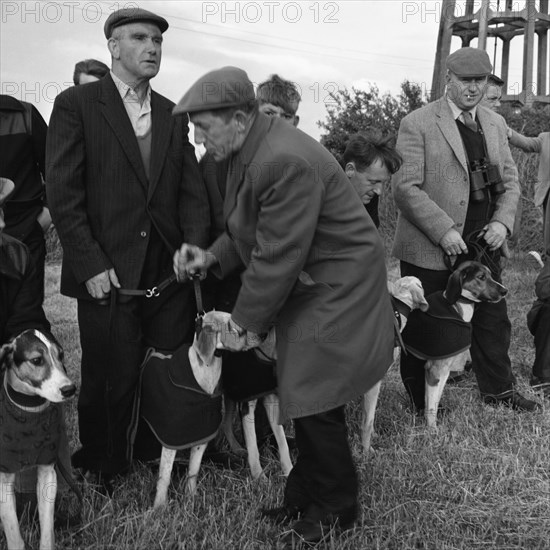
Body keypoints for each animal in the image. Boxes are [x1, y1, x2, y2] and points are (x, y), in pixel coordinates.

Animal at [0, 330, 76, 550]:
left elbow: (48, 531)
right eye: (36, 360)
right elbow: (14, 535)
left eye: (61, 355)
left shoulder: (48, 472)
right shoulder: (3, 481)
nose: (70, 389)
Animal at [404, 264, 506, 432]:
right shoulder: (434, 370)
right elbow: (431, 407)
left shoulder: (443, 371)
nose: (505, 291)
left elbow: (433, 401)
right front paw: (432, 431)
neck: (456, 307)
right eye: (481, 277)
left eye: (491, 275)